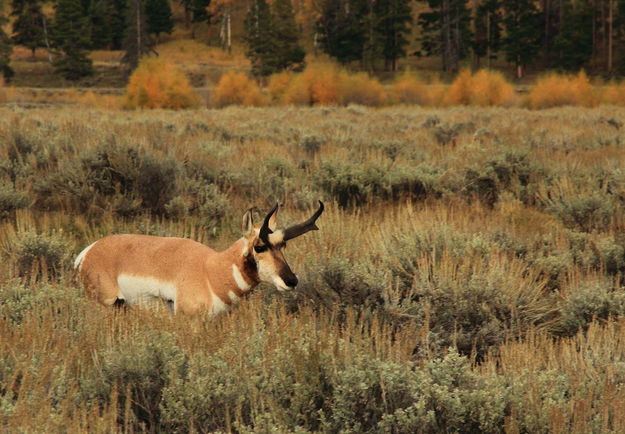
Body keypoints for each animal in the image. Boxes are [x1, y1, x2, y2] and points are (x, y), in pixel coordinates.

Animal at [75, 200, 324, 316]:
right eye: (260, 246)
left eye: (283, 244)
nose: (291, 281)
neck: (211, 271)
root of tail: (88, 251)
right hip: (105, 304)